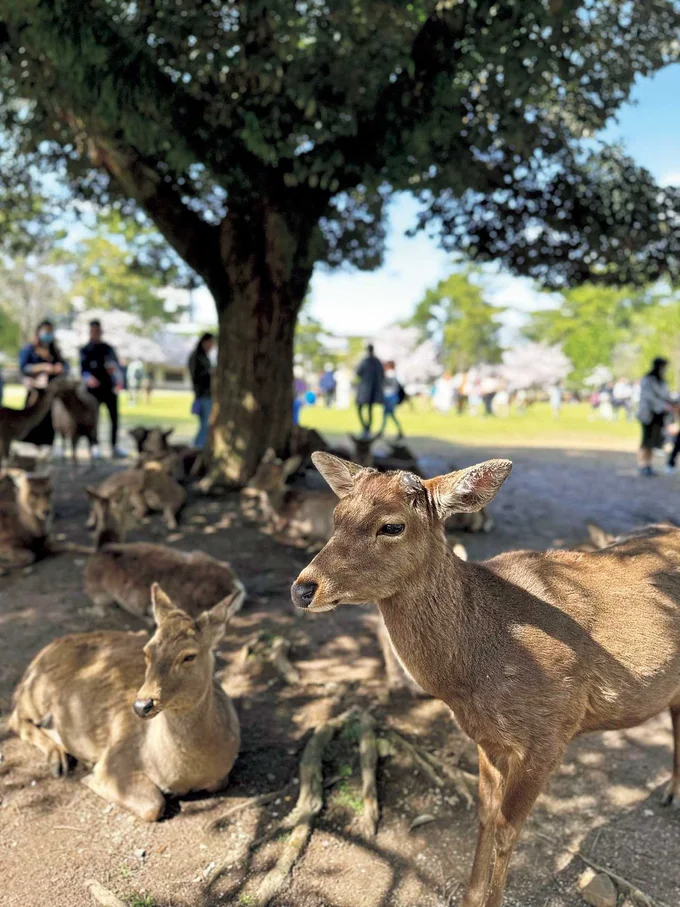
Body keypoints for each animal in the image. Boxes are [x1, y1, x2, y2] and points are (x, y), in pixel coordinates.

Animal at [9, 580, 242, 824]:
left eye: (189, 656)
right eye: (147, 652)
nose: (142, 705)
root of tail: (35, 661)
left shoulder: (221, 777)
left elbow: (217, 783)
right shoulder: (114, 760)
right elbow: (153, 804)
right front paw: (89, 777)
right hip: (36, 692)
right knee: (13, 717)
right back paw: (59, 761)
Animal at [294, 454, 680, 907]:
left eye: (391, 526)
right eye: (336, 516)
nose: (303, 588)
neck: (470, 679)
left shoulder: (552, 732)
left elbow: (507, 829)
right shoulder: (487, 738)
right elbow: (483, 817)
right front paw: (470, 897)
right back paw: (672, 793)